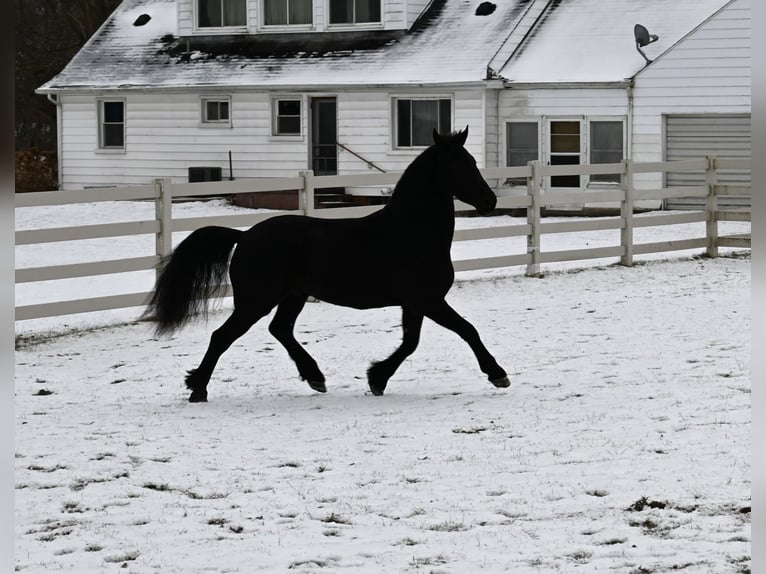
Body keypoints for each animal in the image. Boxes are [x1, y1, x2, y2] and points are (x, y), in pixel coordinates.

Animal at [147, 128, 512, 402]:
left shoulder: (416, 302)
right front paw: (498, 374)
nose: (490, 201)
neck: (410, 231)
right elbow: (465, 330)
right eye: (458, 165)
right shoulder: (428, 299)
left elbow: (411, 342)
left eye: (472, 161)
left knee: (280, 329)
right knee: (222, 336)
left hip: (291, 296)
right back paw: (198, 389)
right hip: (256, 301)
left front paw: (377, 378)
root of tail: (245, 234)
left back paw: (315, 377)